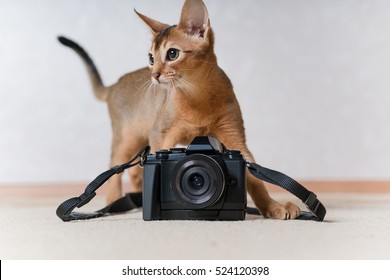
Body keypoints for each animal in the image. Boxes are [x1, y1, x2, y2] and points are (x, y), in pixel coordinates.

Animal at [59, 0, 300, 219]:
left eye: (172, 54)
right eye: (151, 57)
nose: (154, 75)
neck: (197, 95)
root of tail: (115, 84)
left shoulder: (235, 138)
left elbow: (256, 179)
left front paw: (274, 207)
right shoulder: (161, 135)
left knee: (135, 172)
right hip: (126, 139)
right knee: (115, 167)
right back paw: (114, 200)